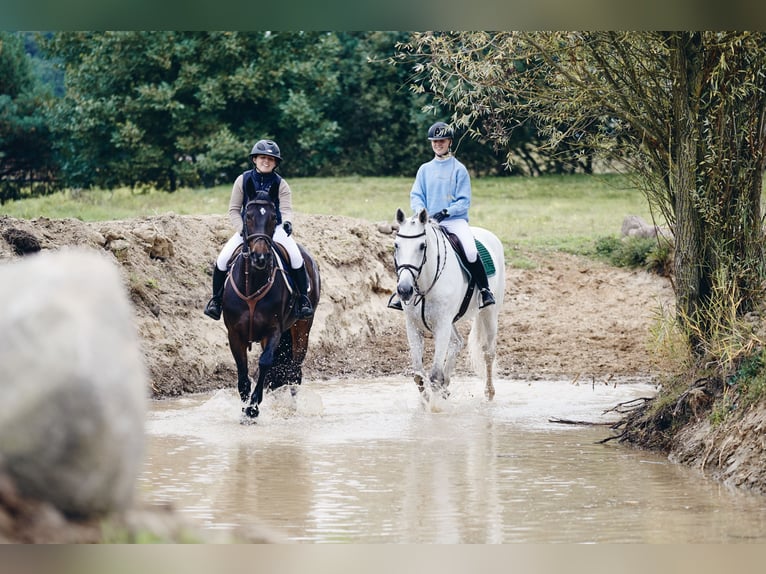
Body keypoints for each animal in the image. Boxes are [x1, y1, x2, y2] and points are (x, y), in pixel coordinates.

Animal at [222, 191, 320, 420]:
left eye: (274, 218)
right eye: (248, 216)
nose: (260, 256)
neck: (253, 282)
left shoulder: (273, 330)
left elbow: (265, 362)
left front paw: (253, 408)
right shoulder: (234, 334)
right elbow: (243, 373)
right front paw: (245, 408)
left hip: (302, 328)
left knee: (294, 370)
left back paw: (291, 408)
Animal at [396, 209, 504, 402]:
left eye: (422, 246)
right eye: (396, 246)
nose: (404, 290)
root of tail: (490, 235)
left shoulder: (442, 324)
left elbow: (434, 376)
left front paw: (435, 407)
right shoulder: (413, 325)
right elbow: (419, 375)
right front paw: (426, 403)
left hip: (489, 313)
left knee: (488, 352)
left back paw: (489, 392)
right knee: (457, 342)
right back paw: (446, 387)